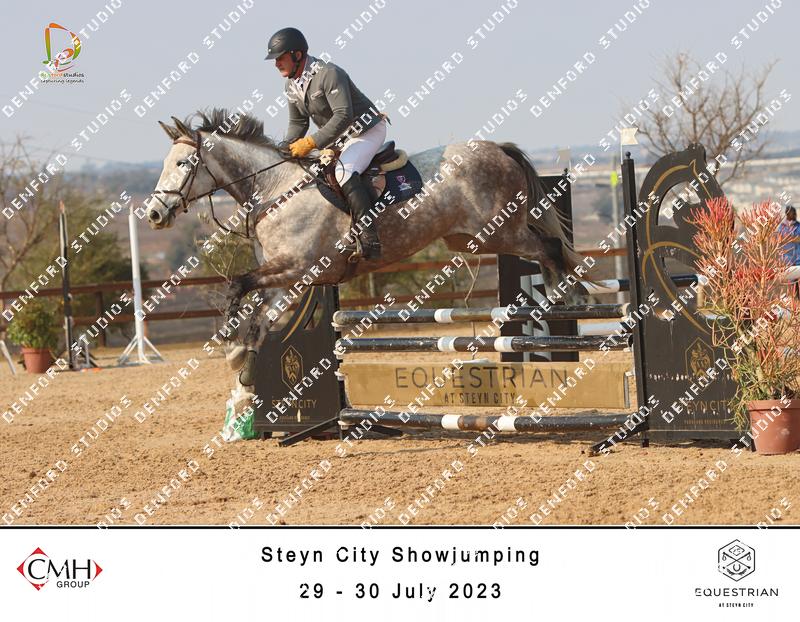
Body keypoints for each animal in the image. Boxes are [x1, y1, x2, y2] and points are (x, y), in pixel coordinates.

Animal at [145, 109, 583, 387]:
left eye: (184, 164)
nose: (153, 214)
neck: (277, 191)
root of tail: (498, 147)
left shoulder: (297, 267)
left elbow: (238, 286)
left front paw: (230, 346)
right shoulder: (290, 278)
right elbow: (261, 319)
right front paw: (244, 363)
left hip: (499, 232)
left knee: (549, 246)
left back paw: (567, 295)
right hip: (471, 238)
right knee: (544, 247)